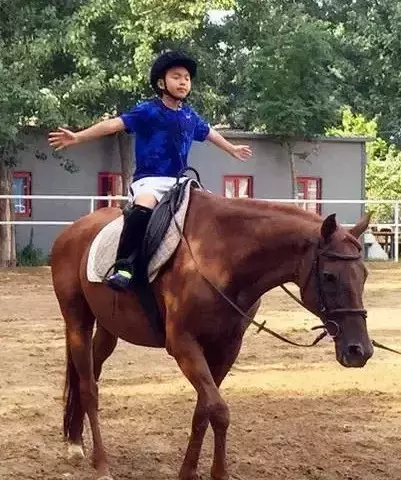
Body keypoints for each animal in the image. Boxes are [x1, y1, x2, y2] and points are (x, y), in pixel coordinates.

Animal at [51, 190, 374, 480]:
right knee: (89, 388)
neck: (221, 257)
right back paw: (101, 464)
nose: (360, 350)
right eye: (330, 276)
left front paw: (188, 472)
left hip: (109, 329)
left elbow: (203, 410)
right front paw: (218, 473)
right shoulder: (184, 345)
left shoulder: (227, 348)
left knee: (88, 373)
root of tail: (72, 231)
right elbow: (218, 410)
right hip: (78, 322)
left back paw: (76, 442)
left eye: (364, 275)